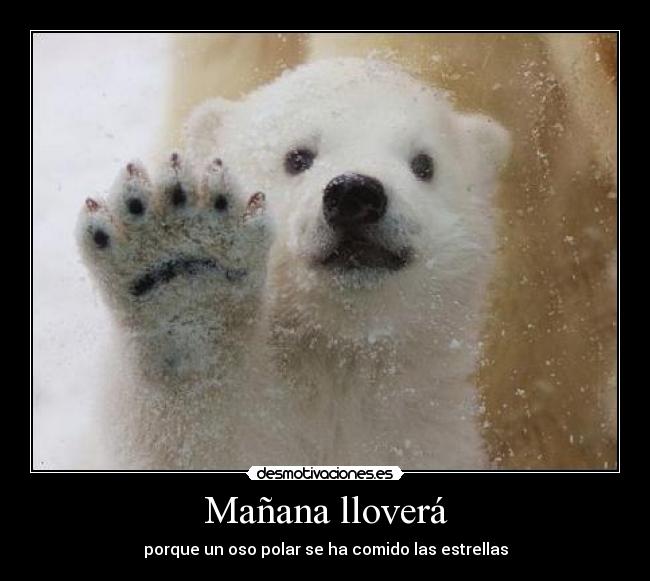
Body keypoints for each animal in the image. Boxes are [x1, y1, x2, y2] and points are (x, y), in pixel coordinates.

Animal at [77, 58, 510, 469]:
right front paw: (181, 272)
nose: (354, 194)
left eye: (424, 164)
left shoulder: (428, 432)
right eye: (297, 157)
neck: (337, 358)